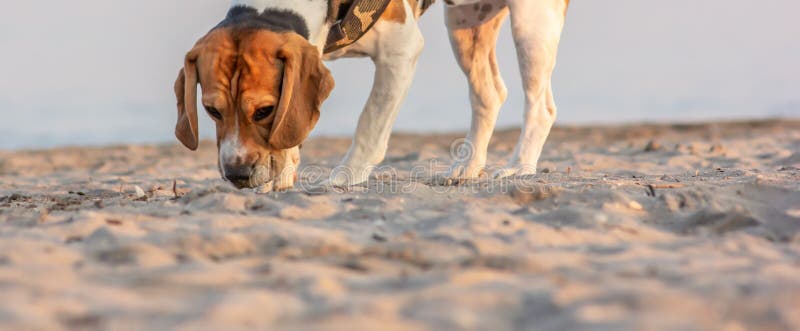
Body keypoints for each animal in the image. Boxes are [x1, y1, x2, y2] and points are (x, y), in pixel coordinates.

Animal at [175, 0, 568, 191]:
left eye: (263, 111)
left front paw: (345, 177)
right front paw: (284, 177)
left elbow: (370, 121)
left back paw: (519, 166)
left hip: (531, 23)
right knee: (489, 94)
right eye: (211, 111)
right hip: (464, 23)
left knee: (541, 106)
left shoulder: (401, 50)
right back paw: (467, 169)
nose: (236, 174)